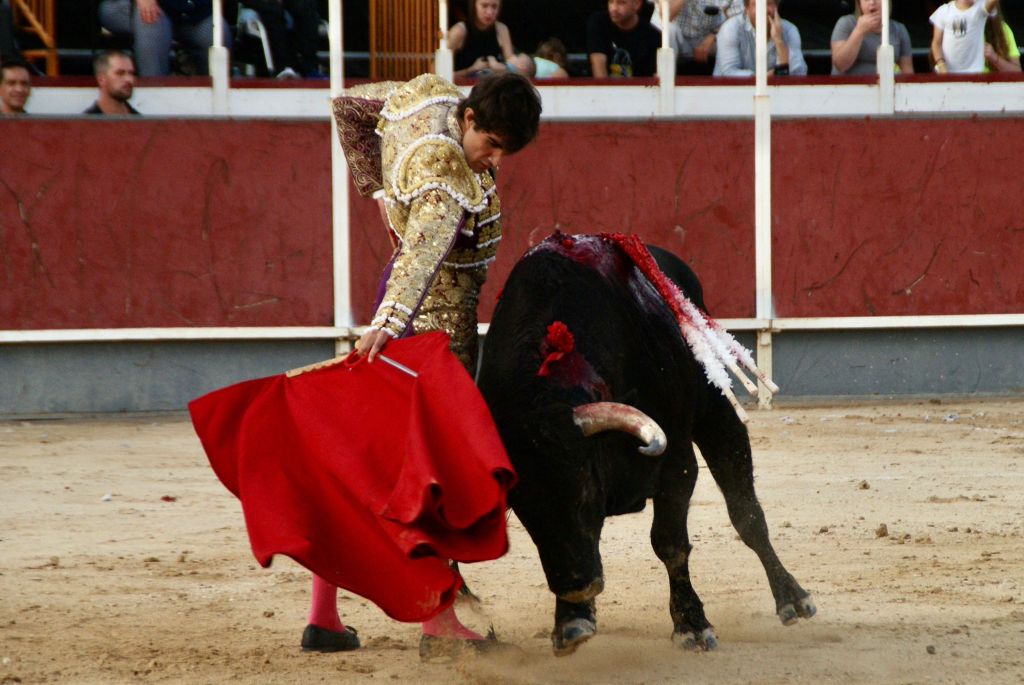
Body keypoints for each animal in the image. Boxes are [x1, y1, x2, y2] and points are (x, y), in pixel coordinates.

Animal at [477, 233, 815, 656]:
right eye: (520, 509)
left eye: (585, 490)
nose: (577, 586)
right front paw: (571, 620)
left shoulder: (676, 464)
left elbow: (670, 543)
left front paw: (692, 625)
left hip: (717, 414)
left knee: (747, 514)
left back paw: (792, 598)